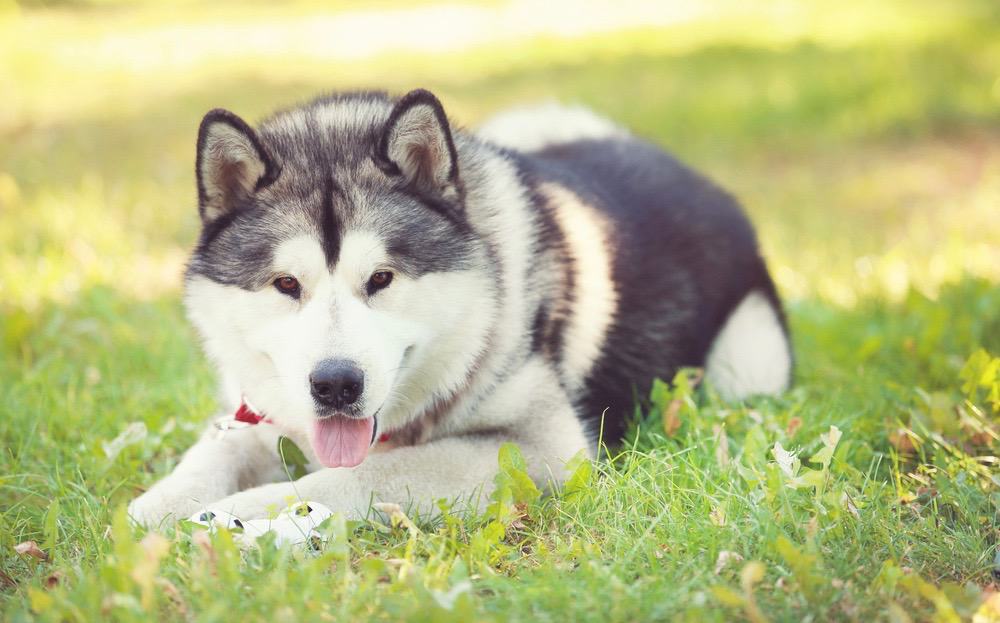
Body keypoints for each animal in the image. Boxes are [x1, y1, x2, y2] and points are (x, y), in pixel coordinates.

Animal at [125, 89, 788, 528]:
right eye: (287, 284)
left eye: (382, 278)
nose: (335, 385)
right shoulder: (258, 410)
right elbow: (213, 452)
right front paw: (155, 510)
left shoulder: (544, 449)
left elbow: (358, 474)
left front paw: (235, 513)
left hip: (749, 365)